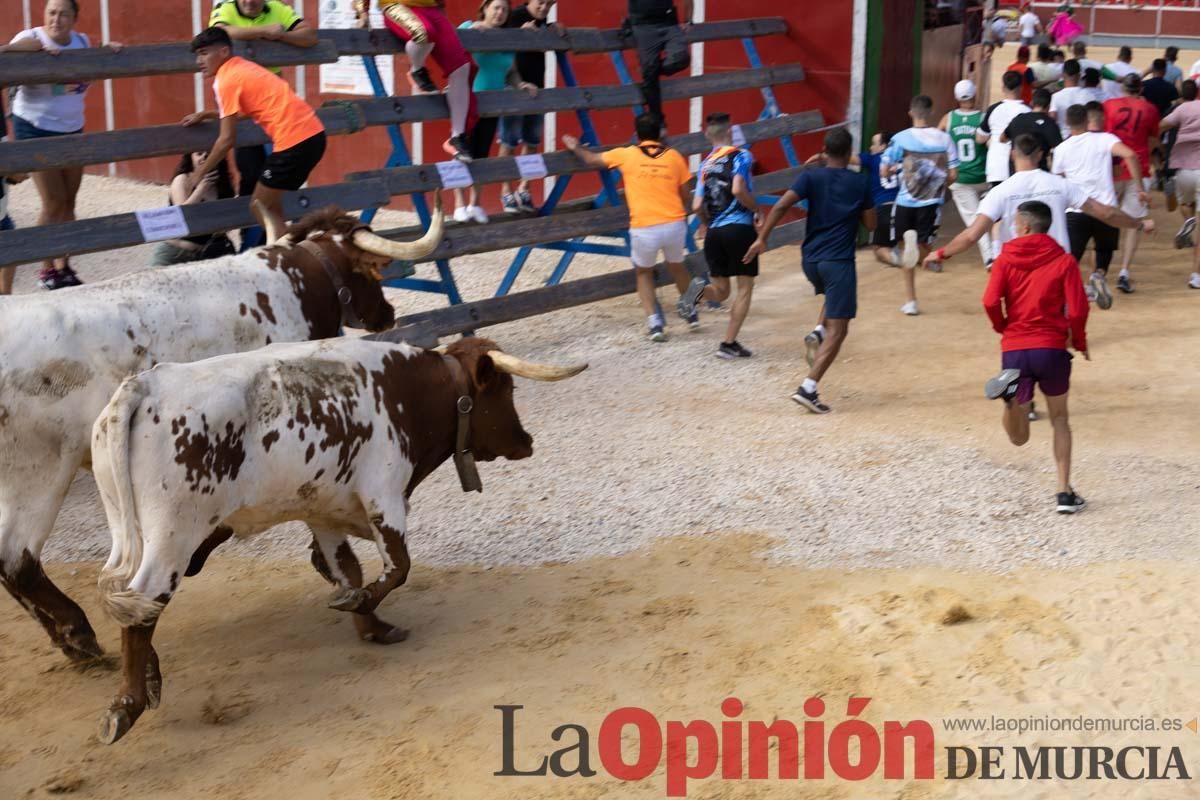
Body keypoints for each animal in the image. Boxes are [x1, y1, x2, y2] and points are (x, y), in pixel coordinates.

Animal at [0, 203, 444, 666]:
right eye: (373, 274)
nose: (388, 313)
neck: (293, 280)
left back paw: (73, 642)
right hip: (40, 471)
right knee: (17, 559)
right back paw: (79, 633)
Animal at [88, 335, 585, 743]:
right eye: (506, 390)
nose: (526, 441)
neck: (408, 391)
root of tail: (145, 386)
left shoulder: (322, 512)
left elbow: (347, 568)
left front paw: (373, 626)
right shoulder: (385, 495)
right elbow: (398, 568)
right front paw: (362, 607)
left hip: (131, 531)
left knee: (131, 601)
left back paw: (149, 678)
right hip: (173, 537)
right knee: (145, 599)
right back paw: (128, 704)